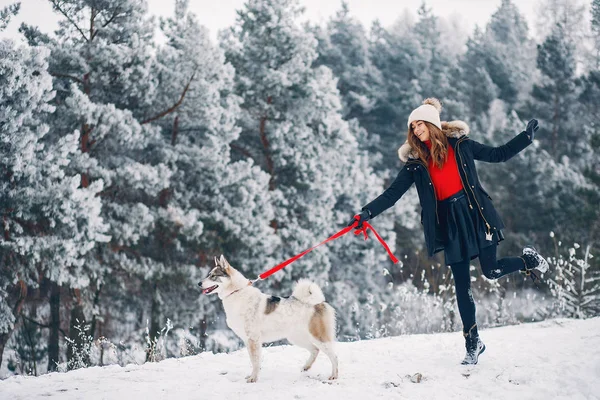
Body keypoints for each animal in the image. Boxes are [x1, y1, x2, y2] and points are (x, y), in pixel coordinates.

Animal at [197, 255, 338, 382]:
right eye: (208, 274)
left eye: (213, 276)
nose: (198, 283)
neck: (236, 292)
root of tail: (319, 302)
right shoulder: (248, 340)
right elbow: (254, 360)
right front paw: (252, 376)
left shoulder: (253, 339)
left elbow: (255, 361)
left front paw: (253, 378)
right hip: (297, 338)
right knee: (315, 350)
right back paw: (306, 367)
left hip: (318, 337)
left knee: (334, 356)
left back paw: (334, 375)